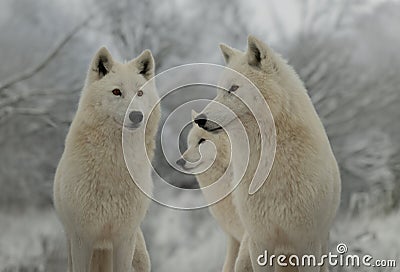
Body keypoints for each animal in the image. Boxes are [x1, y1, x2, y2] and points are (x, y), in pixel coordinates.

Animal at [53, 47, 159, 272]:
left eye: (140, 93)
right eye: (116, 92)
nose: (136, 116)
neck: (115, 165)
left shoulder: (124, 239)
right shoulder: (82, 239)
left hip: (139, 254)